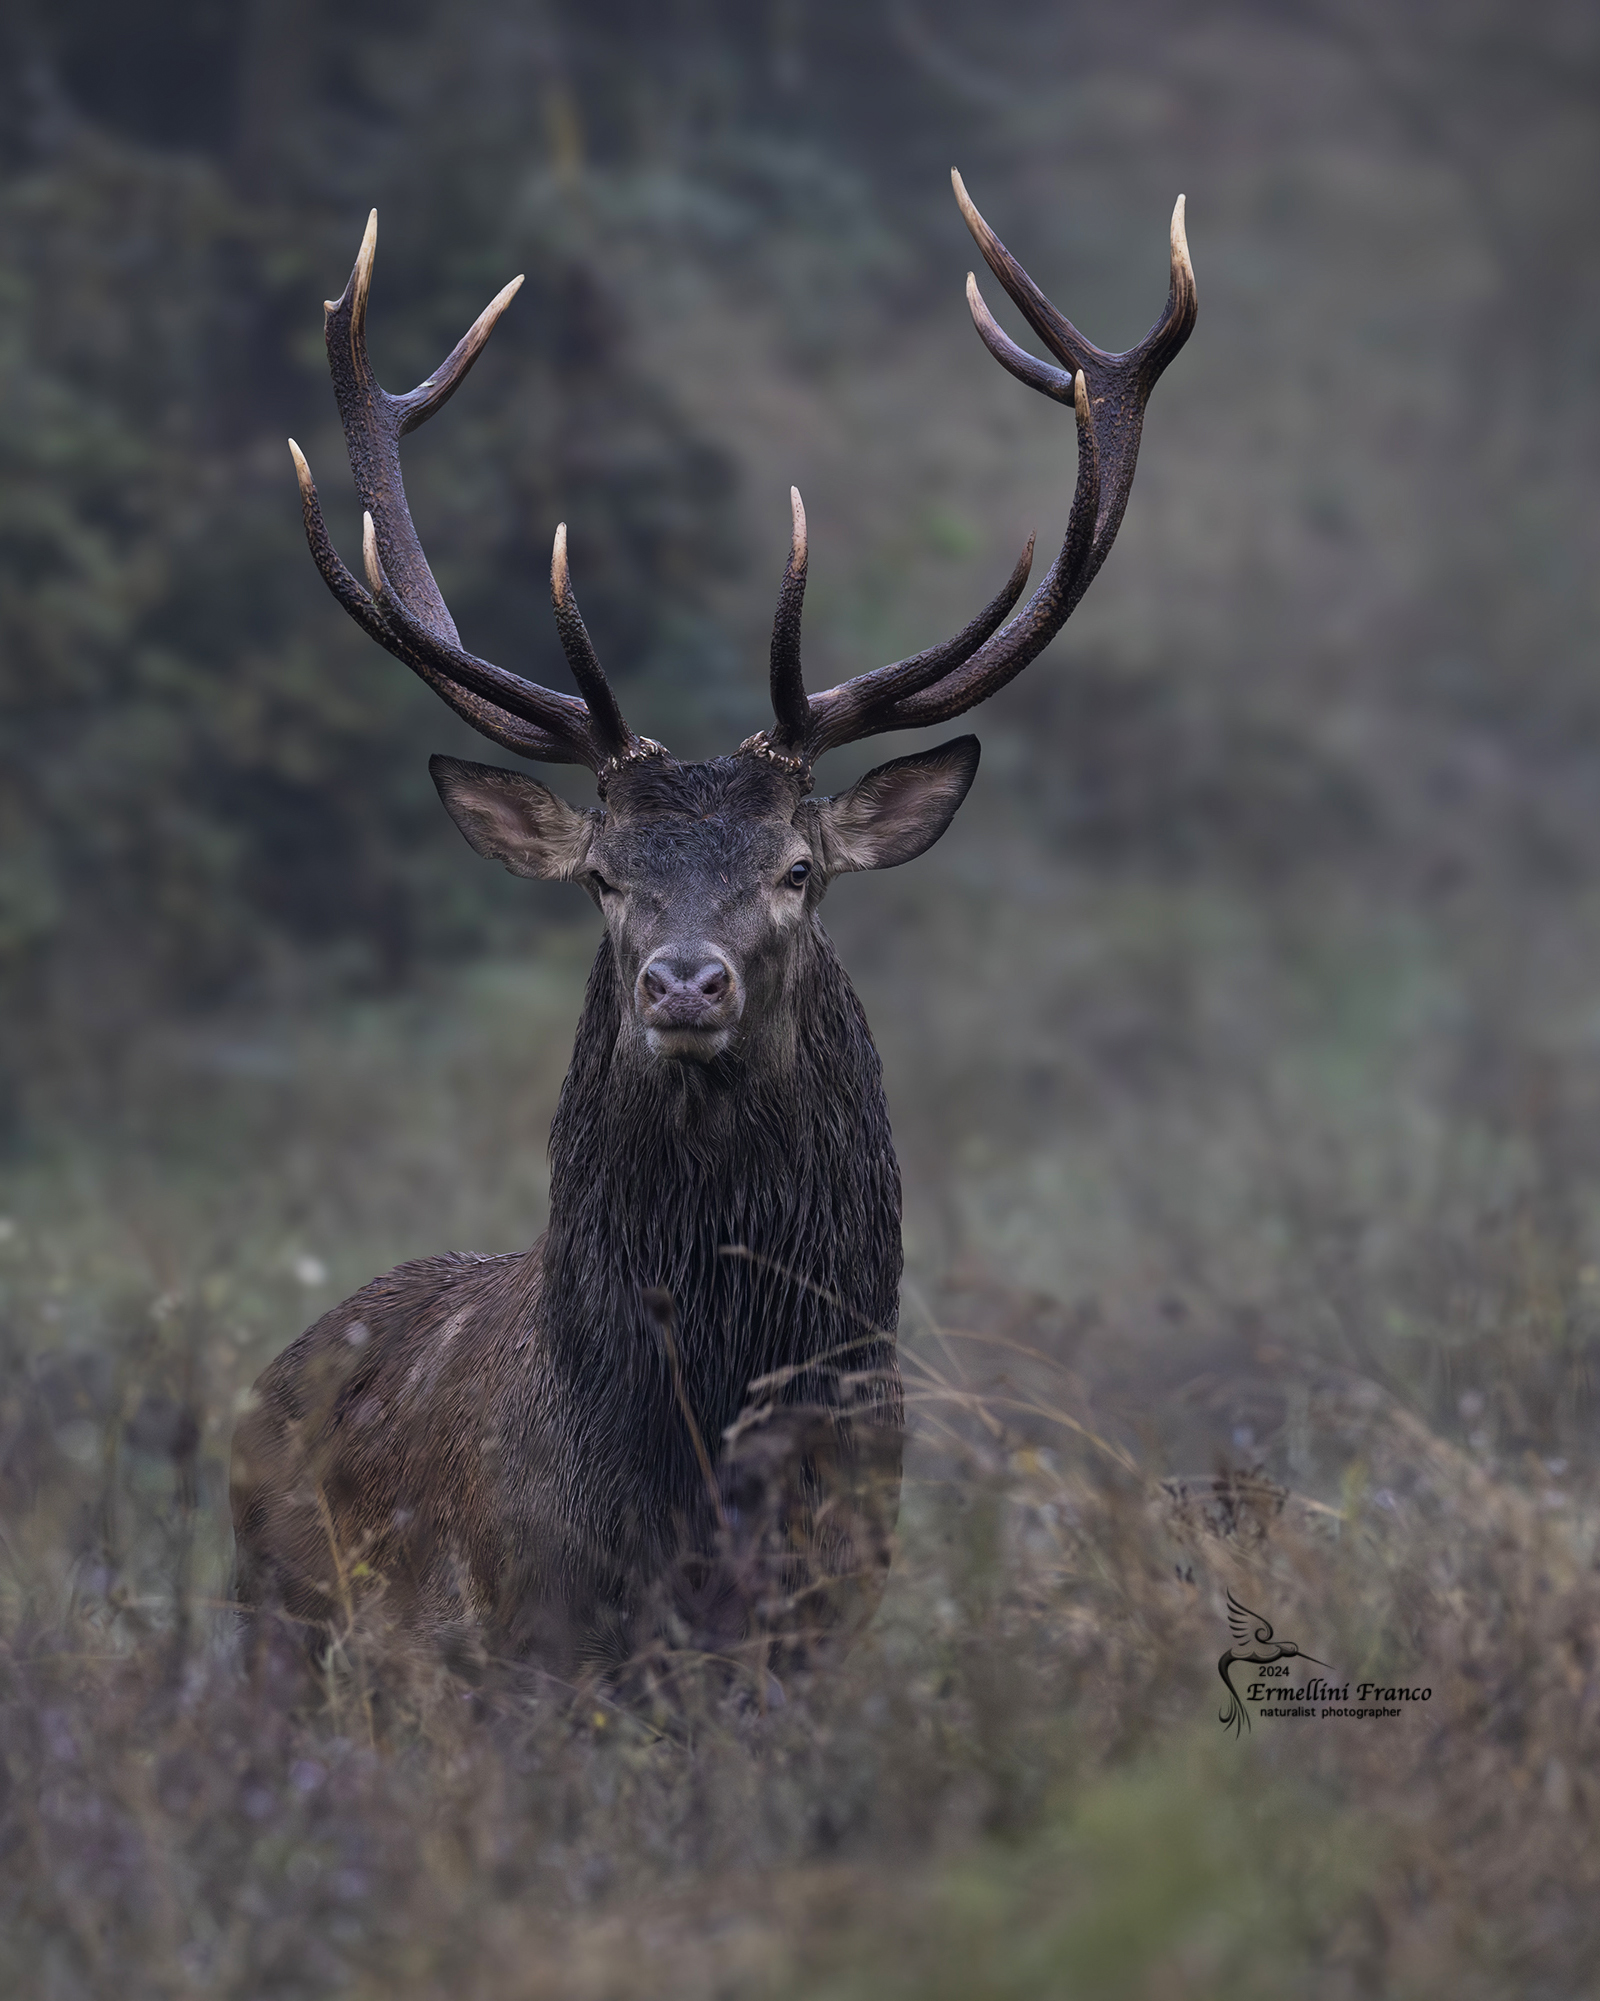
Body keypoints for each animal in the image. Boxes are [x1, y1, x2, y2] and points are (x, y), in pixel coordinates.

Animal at [229, 172, 1196, 1686]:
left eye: (799, 868)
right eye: (603, 876)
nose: (686, 984)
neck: (690, 1465)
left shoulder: (833, 1611)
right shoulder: (530, 1631)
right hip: (270, 1626)